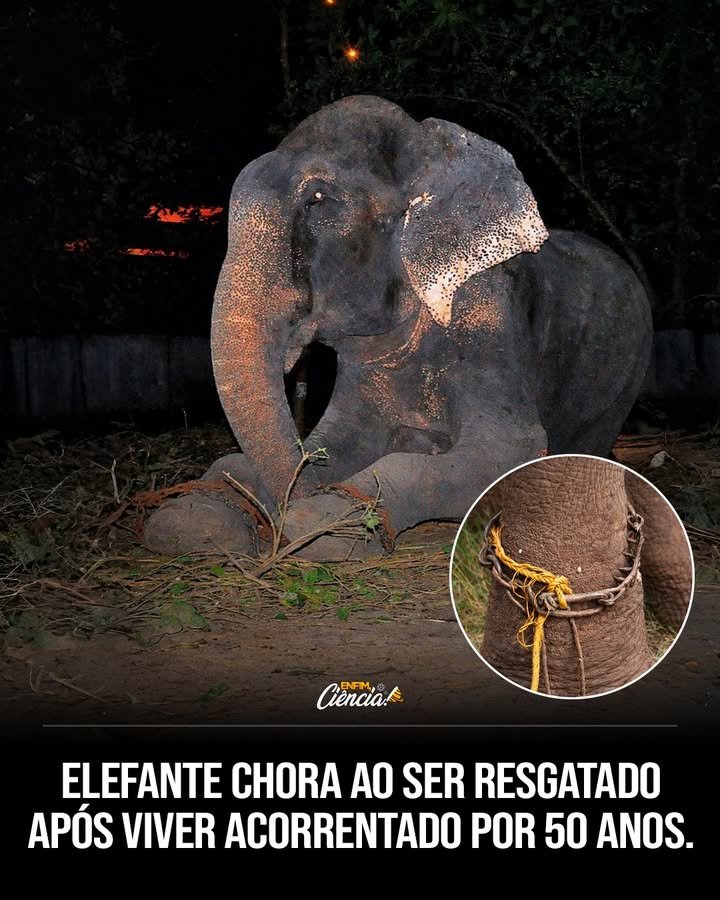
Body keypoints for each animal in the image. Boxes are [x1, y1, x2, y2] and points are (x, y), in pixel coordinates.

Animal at [144, 95, 652, 560]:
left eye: (317, 200)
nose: (289, 505)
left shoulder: (489, 316)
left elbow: (508, 451)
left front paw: (326, 523)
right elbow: (337, 440)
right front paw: (197, 518)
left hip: (621, 383)